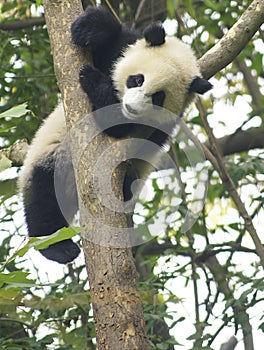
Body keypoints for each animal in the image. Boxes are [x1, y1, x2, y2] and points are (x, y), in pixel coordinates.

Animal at [18, 6, 212, 264]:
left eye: (158, 97)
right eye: (137, 79)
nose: (130, 107)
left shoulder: (160, 122)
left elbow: (114, 127)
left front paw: (95, 82)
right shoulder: (120, 49)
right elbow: (113, 40)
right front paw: (90, 27)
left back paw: (59, 247)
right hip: (52, 152)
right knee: (44, 193)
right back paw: (57, 245)